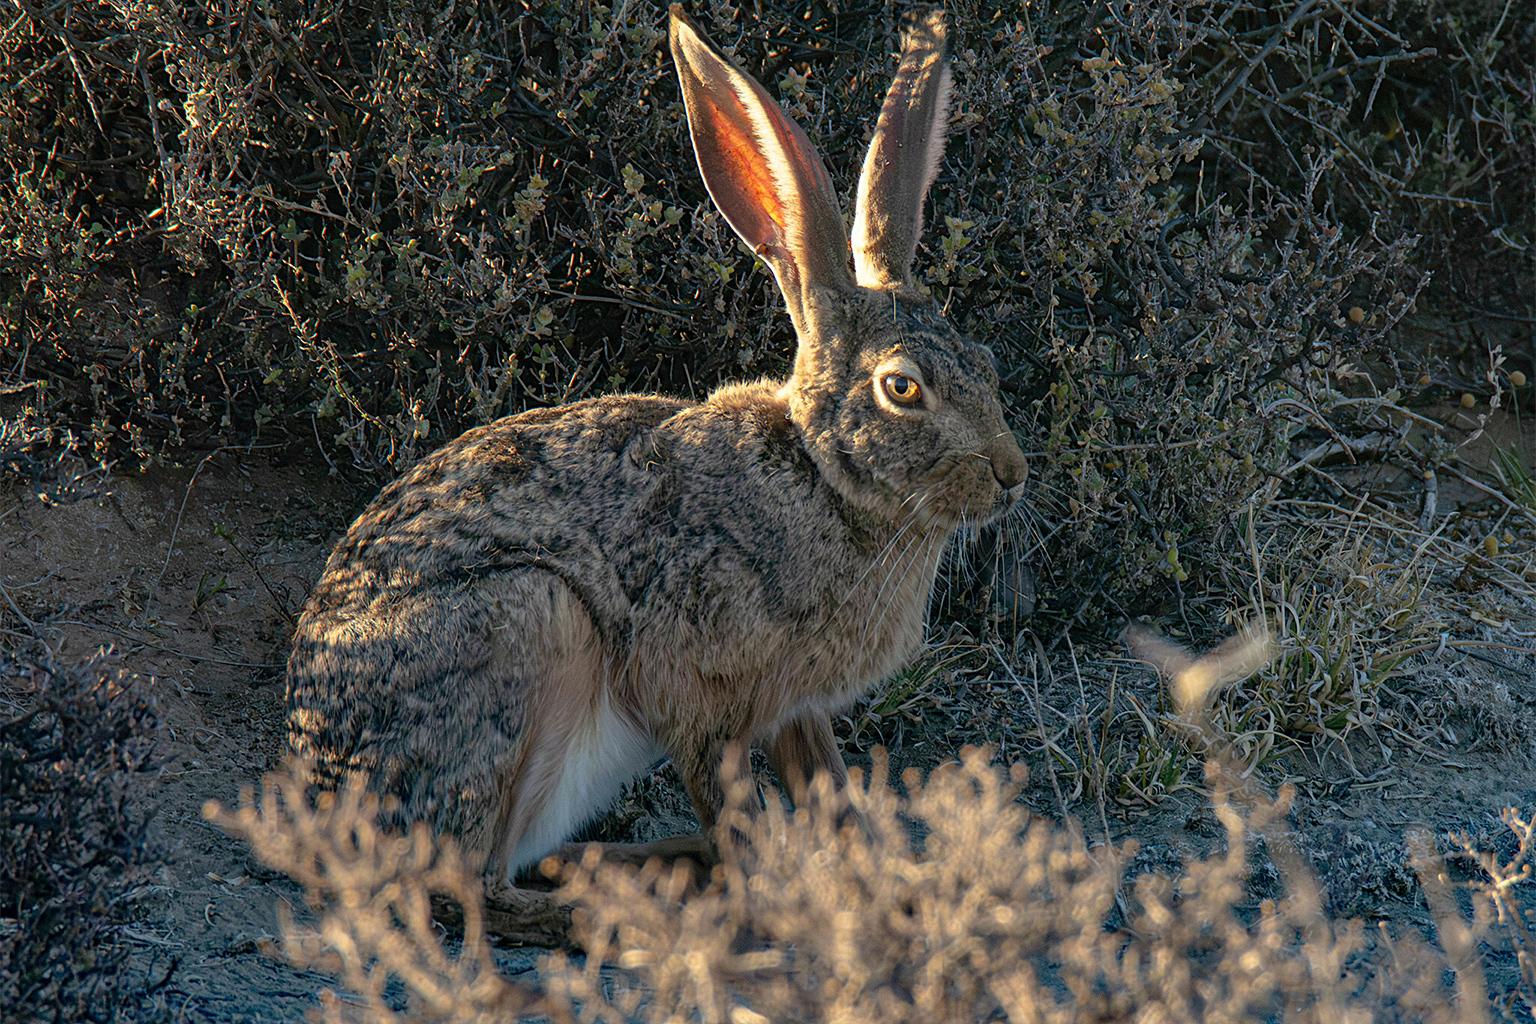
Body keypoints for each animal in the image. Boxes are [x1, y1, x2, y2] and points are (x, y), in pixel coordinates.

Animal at [285, 3, 1027, 943]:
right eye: (903, 389)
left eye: (988, 362)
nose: (1012, 474)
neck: (822, 479)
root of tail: (313, 802)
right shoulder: (697, 695)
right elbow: (735, 809)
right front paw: (779, 898)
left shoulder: (794, 710)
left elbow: (831, 792)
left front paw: (880, 887)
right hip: (525, 623)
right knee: (470, 886)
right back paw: (637, 908)